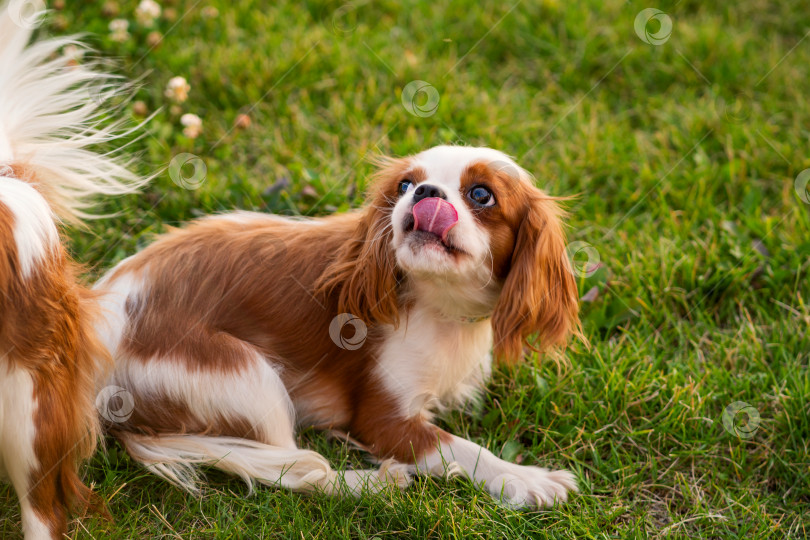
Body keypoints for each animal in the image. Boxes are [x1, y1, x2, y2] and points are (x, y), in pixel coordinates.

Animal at [96, 142, 580, 506]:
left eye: (481, 195)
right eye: (404, 185)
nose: (424, 192)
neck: (439, 303)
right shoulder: (382, 420)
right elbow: (462, 446)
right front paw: (526, 478)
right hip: (243, 374)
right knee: (298, 468)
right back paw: (371, 482)